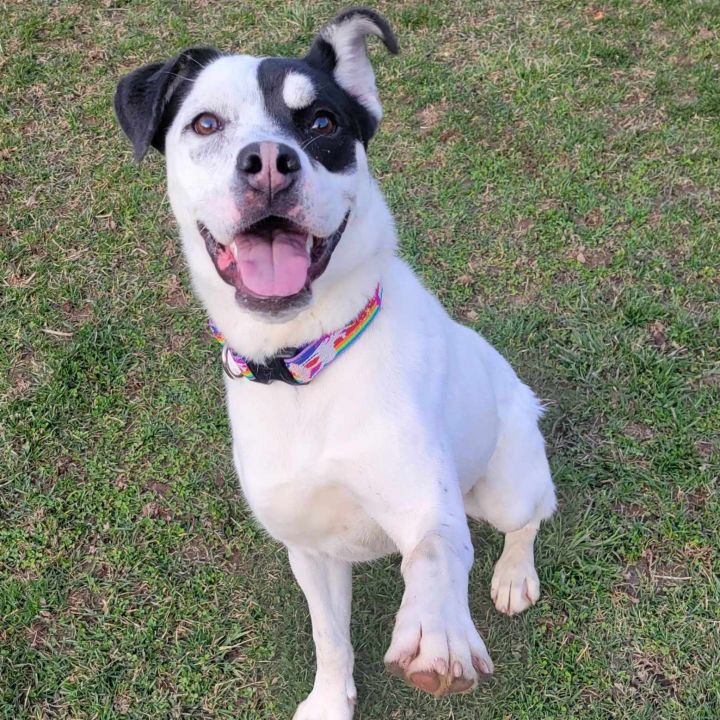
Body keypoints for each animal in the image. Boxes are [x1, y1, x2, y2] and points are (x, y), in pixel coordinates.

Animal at [116, 8, 556, 716]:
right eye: (206, 123)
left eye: (322, 122)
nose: (269, 163)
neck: (304, 365)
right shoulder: (310, 548)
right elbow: (330, 638)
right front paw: (330, 700)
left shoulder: (424, 505)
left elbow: (434, 555)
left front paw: (437, 633)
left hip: (506, 486)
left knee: (533, 517)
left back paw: (514, 576)